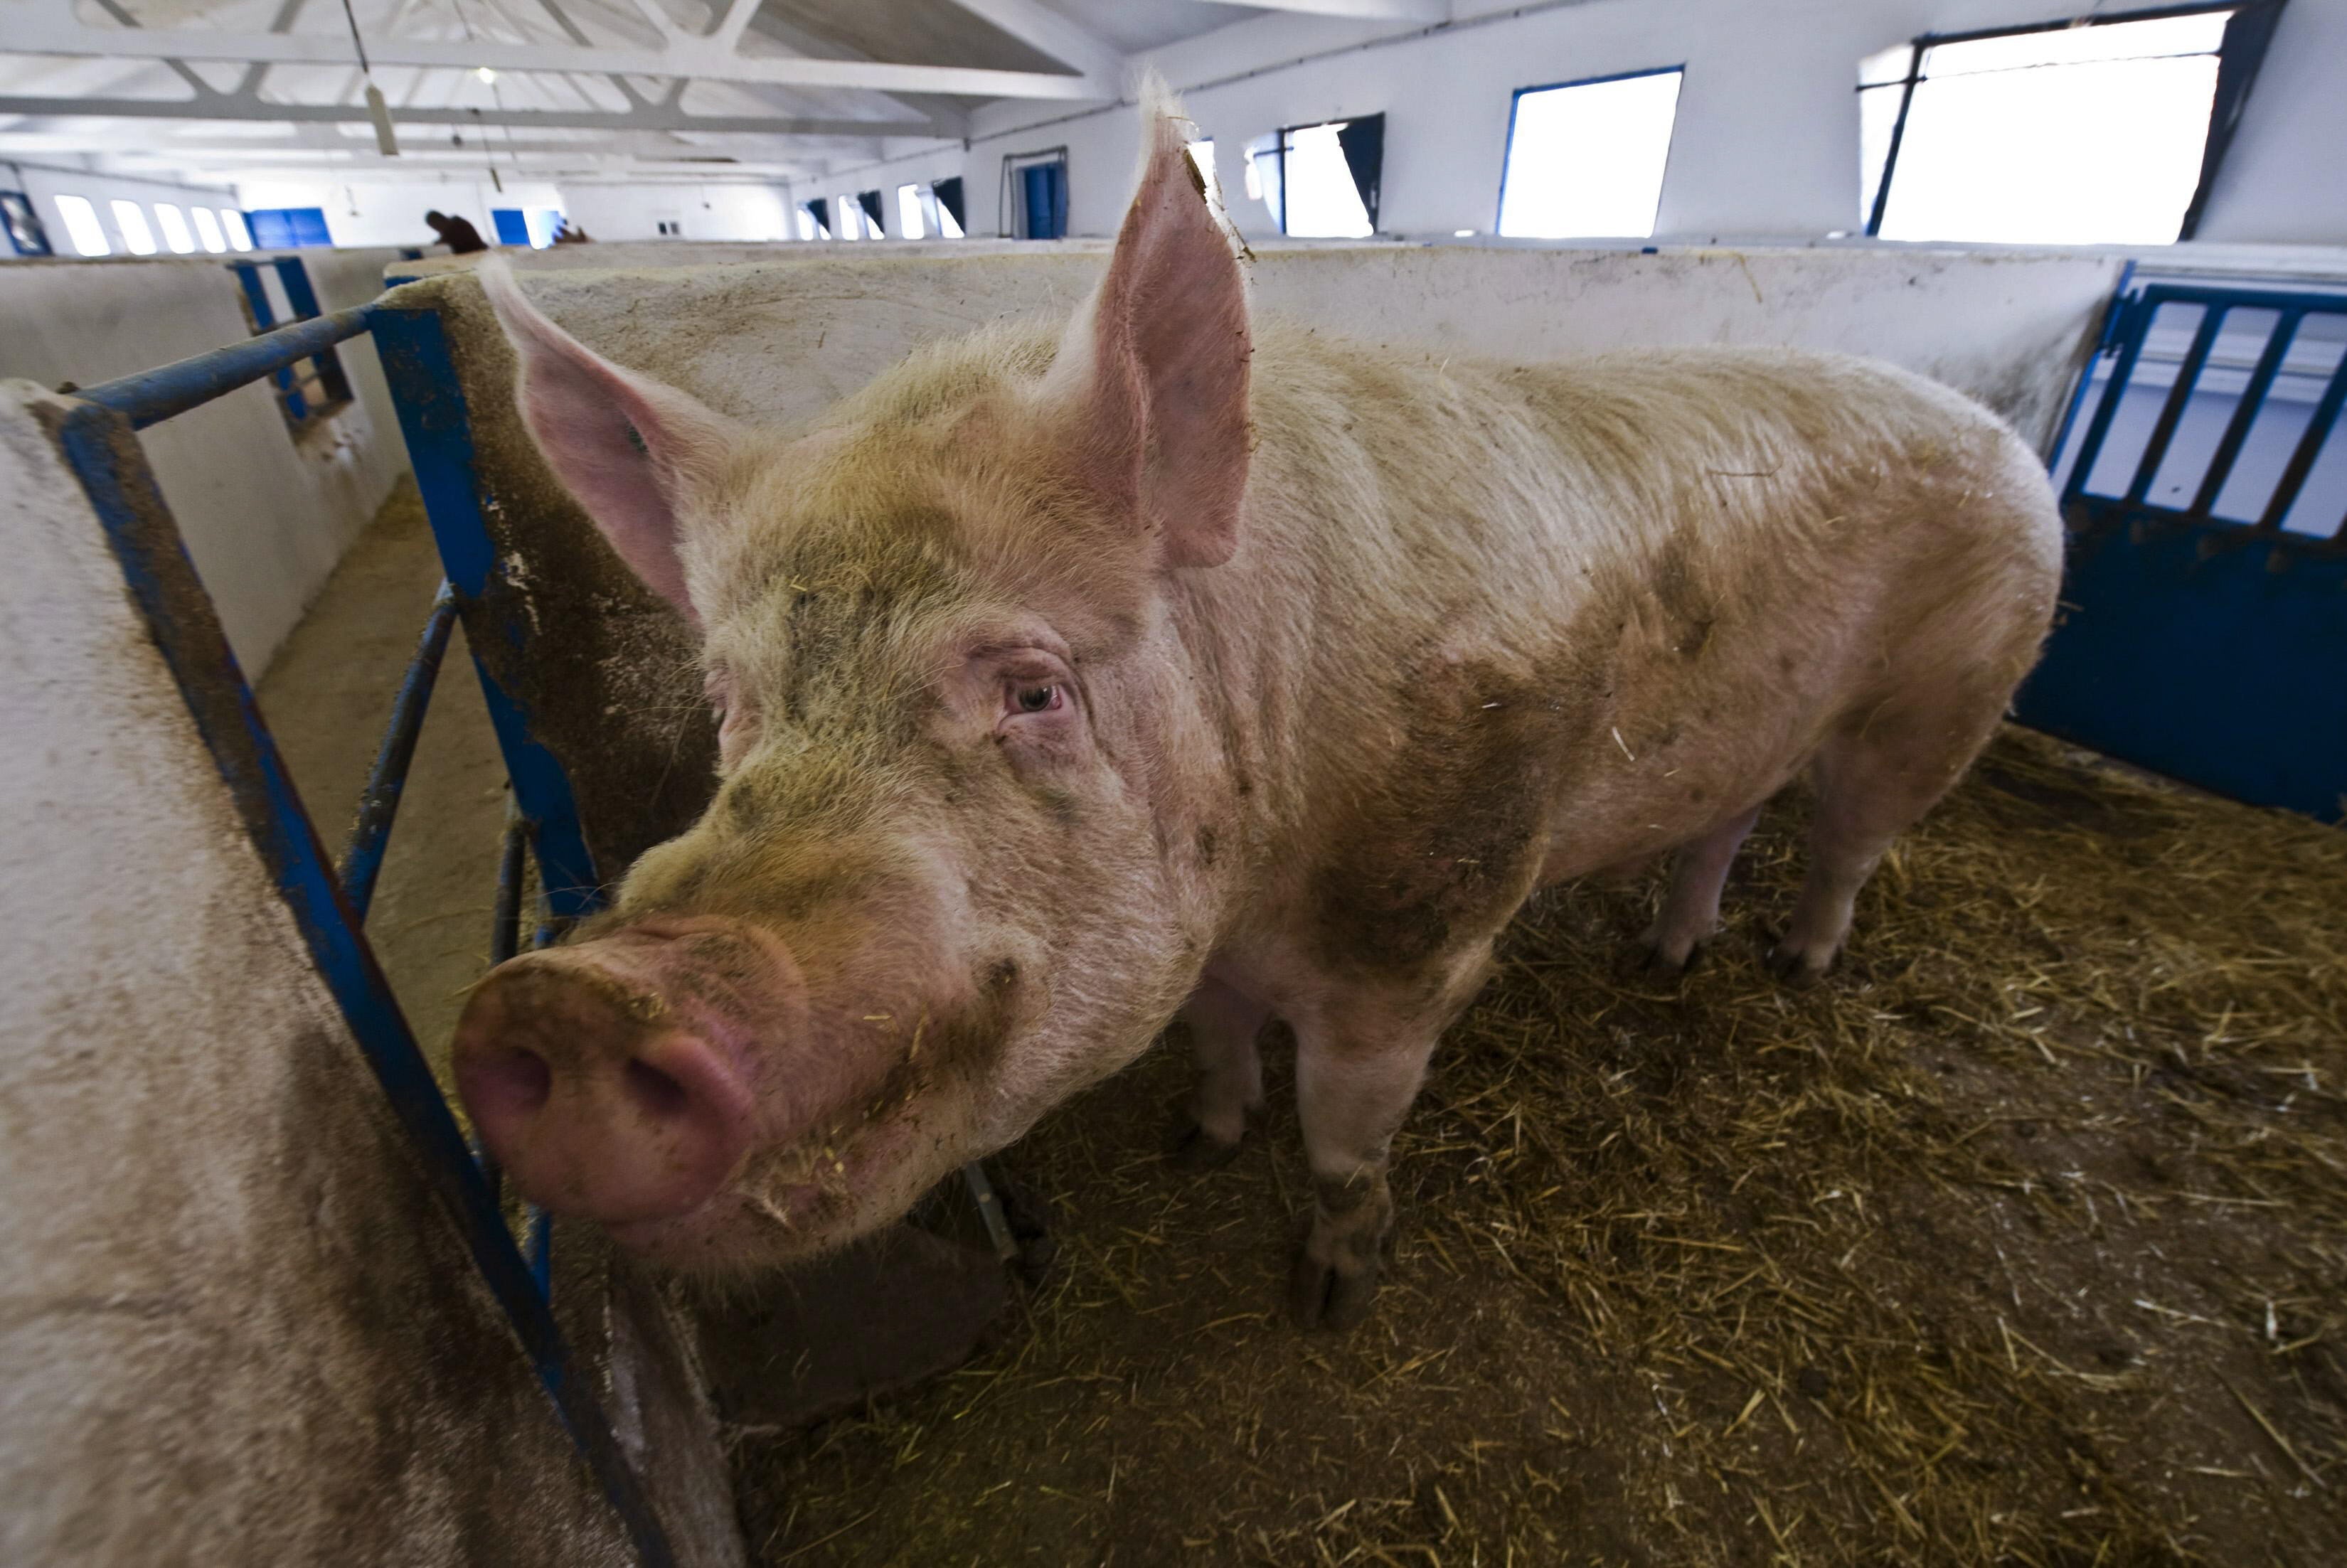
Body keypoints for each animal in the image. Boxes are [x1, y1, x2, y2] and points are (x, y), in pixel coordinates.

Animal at [452, 92, 2061, 1330]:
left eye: (1032, 688)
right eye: (734, 701)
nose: (567, 998)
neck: (1265, 858)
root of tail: (2004, 434)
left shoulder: (1419, 938)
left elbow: (1345, 1134)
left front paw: (1333, 1291)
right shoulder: (1209, 934)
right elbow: (1222, 1041)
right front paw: (1201, 1140)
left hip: (1953, 689)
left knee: (1852, 835)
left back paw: (1800, 965)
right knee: (1727, 816)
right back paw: (1670, 958)